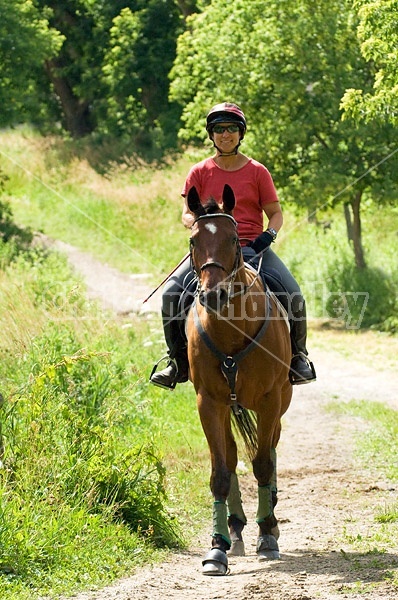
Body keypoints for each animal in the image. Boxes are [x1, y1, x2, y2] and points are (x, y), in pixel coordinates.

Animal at [186, 184, 292, 576]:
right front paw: (217, 548)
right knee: (232, 456)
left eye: (233, 239)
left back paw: (268, 518)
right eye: (193, 240)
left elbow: (262, 463)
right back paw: (235, 527)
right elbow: (220, 470)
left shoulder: (269, 400)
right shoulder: (208, 402)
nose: (213, 294)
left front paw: (268, 535)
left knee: (270, 450)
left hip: (279, 403)